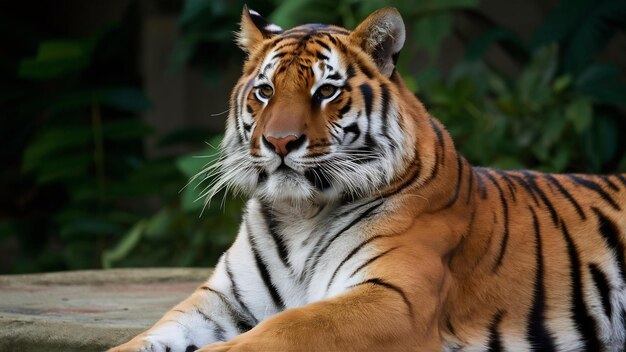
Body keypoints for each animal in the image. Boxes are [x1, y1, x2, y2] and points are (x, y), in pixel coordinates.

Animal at [108, 5, 624, 352]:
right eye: (265, 91)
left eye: (325, 92)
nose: (279, 142)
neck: (299, 215)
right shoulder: (221, 301)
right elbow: (149, 336)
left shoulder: (393, 297)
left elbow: (286, 327)